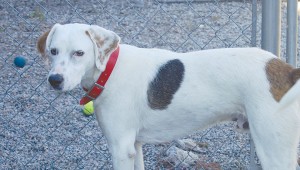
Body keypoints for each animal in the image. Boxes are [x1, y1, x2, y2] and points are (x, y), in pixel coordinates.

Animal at [37, 23, 300, 170]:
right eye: (53, 51)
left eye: (79, 53)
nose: (54, 80)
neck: (110, 69)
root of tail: (287, 71)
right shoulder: (135, 146)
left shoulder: (121, 149)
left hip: (273, 151)